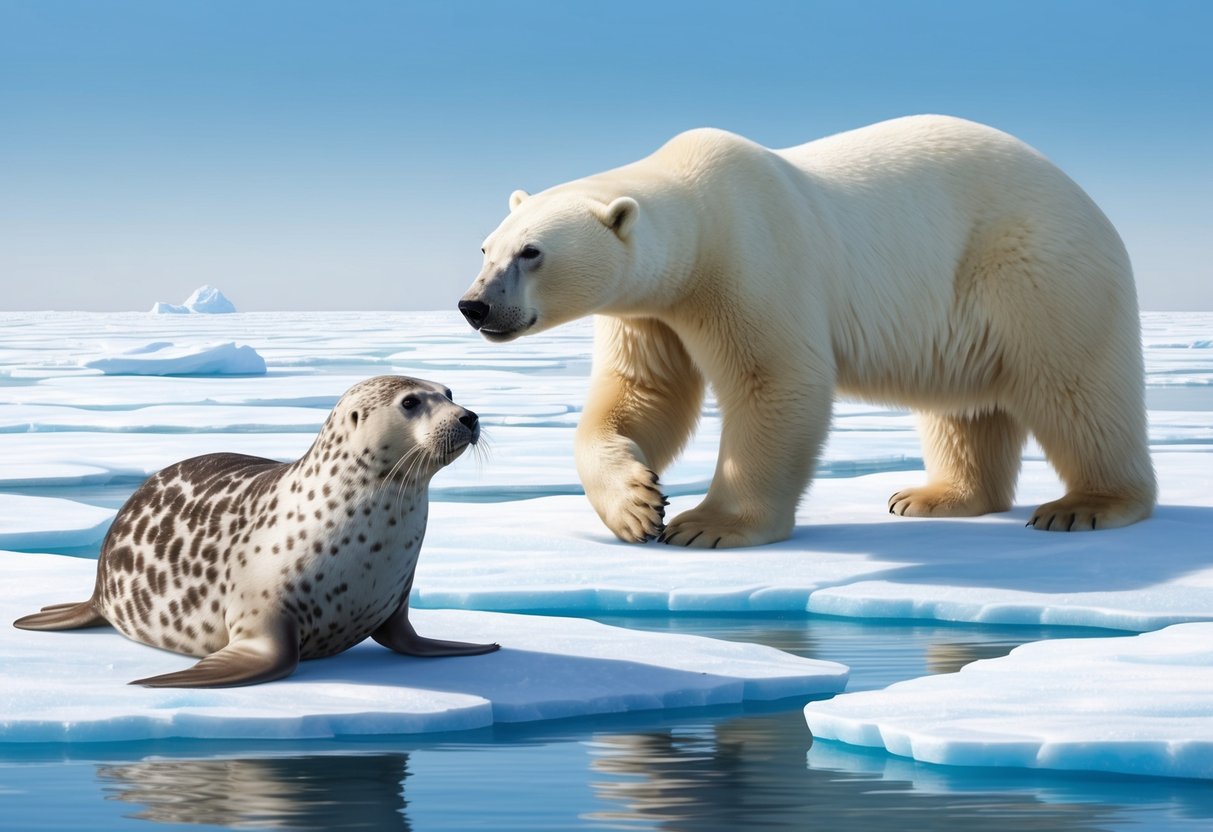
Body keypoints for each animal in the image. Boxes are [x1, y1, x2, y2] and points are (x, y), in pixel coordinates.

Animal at [456, 114, 1154, 550]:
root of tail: (1082, 195)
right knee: (963, 407)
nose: (474, 306)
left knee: (1076, 388)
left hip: (1032, 268)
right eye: (487, 247)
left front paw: (706, 525)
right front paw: (635, 505)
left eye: (533, 253)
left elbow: (776, 383)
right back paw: (933, 496)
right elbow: (641, 395)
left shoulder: (753, 260)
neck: (702, 214)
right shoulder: (652, 310)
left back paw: (1086, 505)